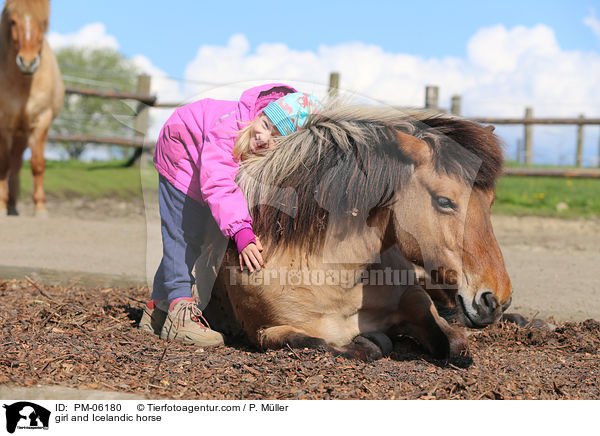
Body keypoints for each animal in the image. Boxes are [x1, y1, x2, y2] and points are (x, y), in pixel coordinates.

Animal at [0, 0, 64, 215]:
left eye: (43, 22)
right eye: (13, 21)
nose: (27, 63)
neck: (24, 83)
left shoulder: (41, 120)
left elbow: (37, 164)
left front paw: (40, 207)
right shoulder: (4, 123)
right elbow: (3, 164)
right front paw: (1, 204)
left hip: (22, 135)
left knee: (17, 163)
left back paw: (12, 206)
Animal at [204, 105, 512, 362]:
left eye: (492, 201)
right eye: (444, 201)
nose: (496, 300)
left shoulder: (415, 297)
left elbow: (455, 342)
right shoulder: (266, 331)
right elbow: (332, 345)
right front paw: (369, 340)